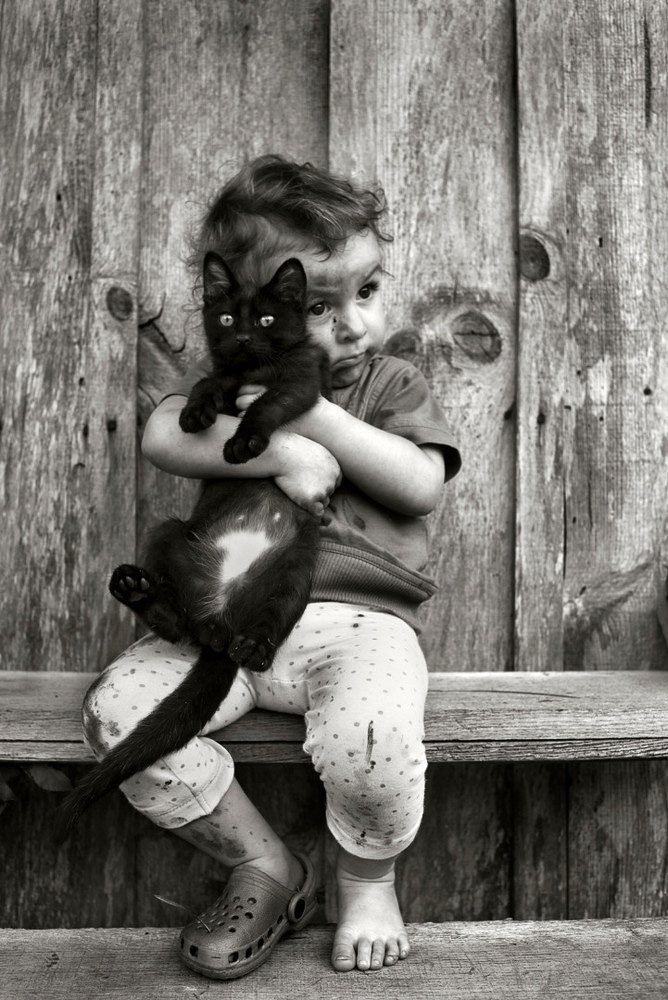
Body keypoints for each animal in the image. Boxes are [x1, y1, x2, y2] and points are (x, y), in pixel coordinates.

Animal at [57, 252, 332, 836]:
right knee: (176, 621)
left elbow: (269, 403)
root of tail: (223, 620)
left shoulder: (302, 379)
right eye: (227, 318)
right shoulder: (225, 373)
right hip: (170, 532)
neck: (252, 369)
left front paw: (243, 441)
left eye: (267, 319)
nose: (244, 337)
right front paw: (195, 415)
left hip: (297, 570)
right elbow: (209, 381)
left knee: (271, 617)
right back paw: (140, 591)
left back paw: (253, 646)